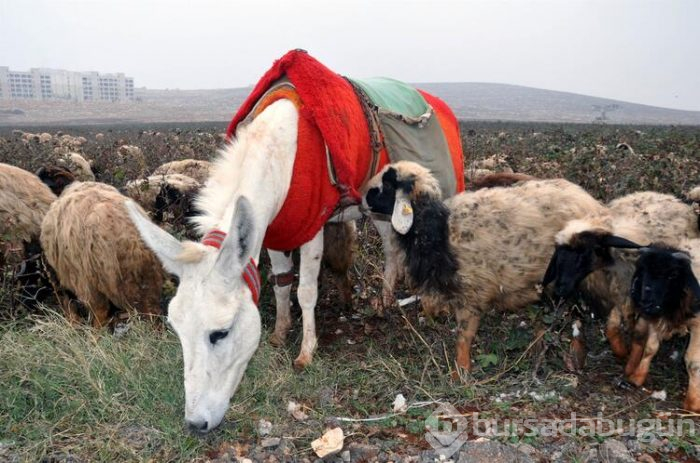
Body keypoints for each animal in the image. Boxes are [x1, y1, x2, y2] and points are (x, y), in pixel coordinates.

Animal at [360, 161, 608, 372]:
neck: (437, 229)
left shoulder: (473, 290)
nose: (361, 199)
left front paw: (461, 372)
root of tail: (594, 205)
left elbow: (464, 335)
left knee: (577, 311)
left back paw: (574, 353)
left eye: (388, 185)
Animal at [624, 241, 700, 412]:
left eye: (672, 275)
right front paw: (636, 378)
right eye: (643, 271)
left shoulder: (698, 324)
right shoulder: (655, 318)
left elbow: (693, 362)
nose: (646, 302)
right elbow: (650, 348)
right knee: (638, 337)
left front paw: (692, 404)